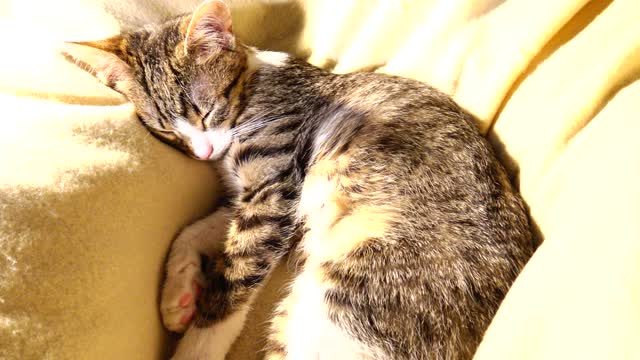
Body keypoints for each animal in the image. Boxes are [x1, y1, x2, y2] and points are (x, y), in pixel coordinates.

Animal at [63, 1, 536, 358]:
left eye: (205, 111)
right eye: (166, 131)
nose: (203, 152)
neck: (252, 86)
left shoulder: (273, 193)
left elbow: (233, 280)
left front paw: (196, 336)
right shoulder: (263, 201)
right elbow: (192, 231)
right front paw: (178, 295)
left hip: (346, 295)